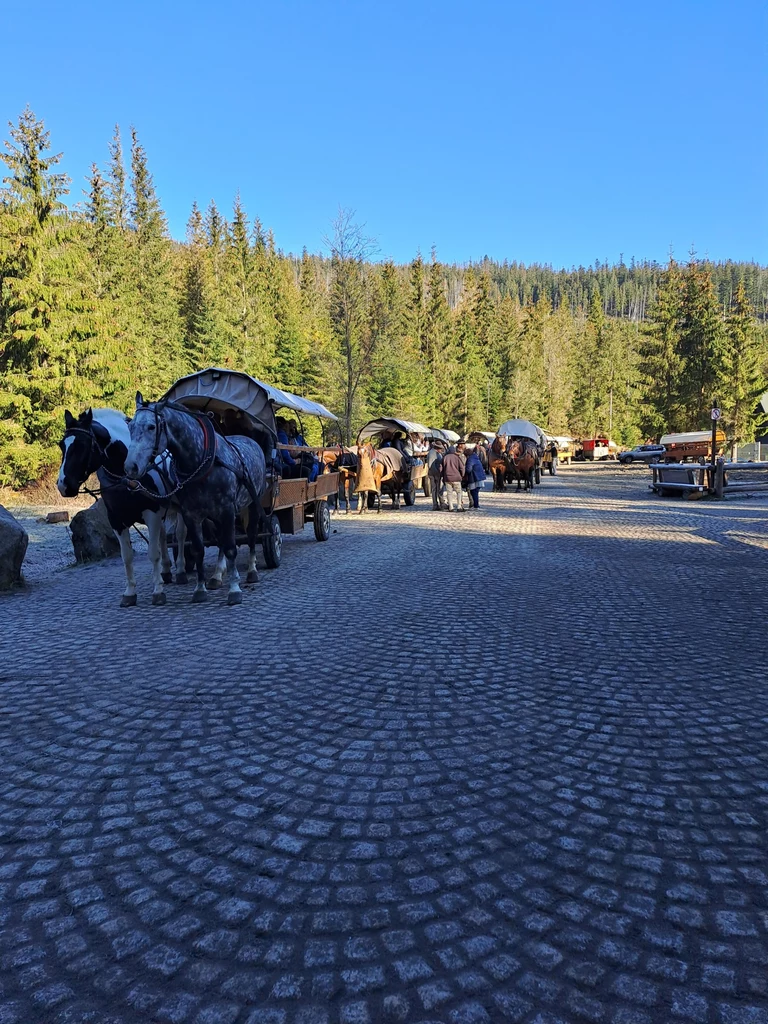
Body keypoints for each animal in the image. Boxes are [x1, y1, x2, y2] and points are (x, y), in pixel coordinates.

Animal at [56, 405, 188, 602]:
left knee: (179, 535)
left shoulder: (152, 514)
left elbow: (152, 553)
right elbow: (127, 557)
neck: (126, 478)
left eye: (81, 445)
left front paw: (158, 591)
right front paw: (130, 592)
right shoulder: (117, 520)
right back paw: (165, 571)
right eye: (61, 445)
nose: (63, 485)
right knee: (164, 537)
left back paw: (180, 570)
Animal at [124, 393, 268, 602]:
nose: (131, 467)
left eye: (151, 426)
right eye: (130, 426)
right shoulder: (191, 514)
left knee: (251, 534)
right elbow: (198, 550)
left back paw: (251, 570)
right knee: (220, 539)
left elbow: (231, 547)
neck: (201, 460)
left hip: (253, 503)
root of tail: (251, 441)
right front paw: (200, 588)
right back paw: (217, 575)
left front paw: (234, 588)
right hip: (215, 515)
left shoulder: (227, 510)